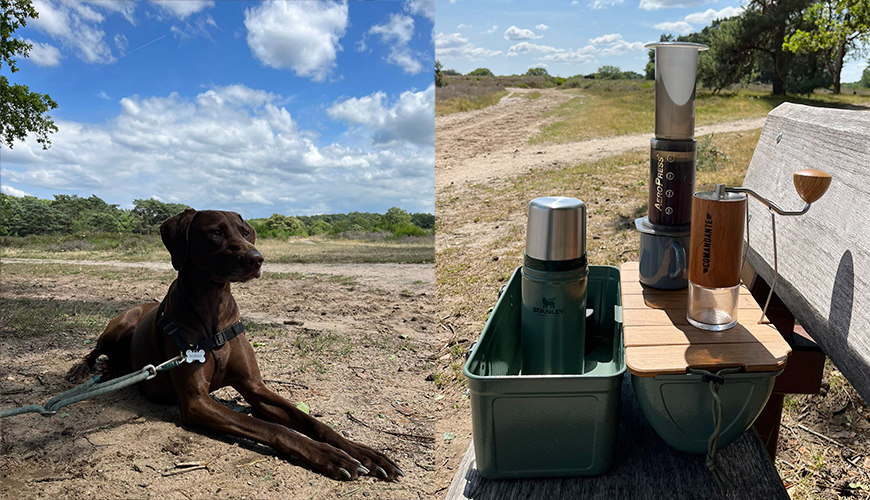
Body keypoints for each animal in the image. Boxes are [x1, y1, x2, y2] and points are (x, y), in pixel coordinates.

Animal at [67, 210, 402, 480]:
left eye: (245, 232)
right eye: (215, 232)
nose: (257, 258)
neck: (213, 310)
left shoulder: (255, 388)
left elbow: (314, 423)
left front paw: (363, 452)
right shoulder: (197, 402)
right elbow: (276, 429)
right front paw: (329, 456)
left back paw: (110, 371)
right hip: (121, 324)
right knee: (94, 350)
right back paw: (82, 371)